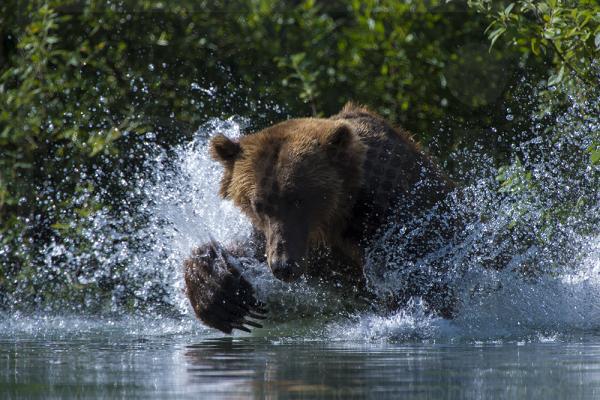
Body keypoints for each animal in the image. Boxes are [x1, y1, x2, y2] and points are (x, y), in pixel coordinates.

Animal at [183, 101, 454, 332]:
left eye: (298, 198)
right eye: (258, 204)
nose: (283, 266)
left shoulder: (395, 214)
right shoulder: (286, 240)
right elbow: (244, 252)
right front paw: (220, 294)